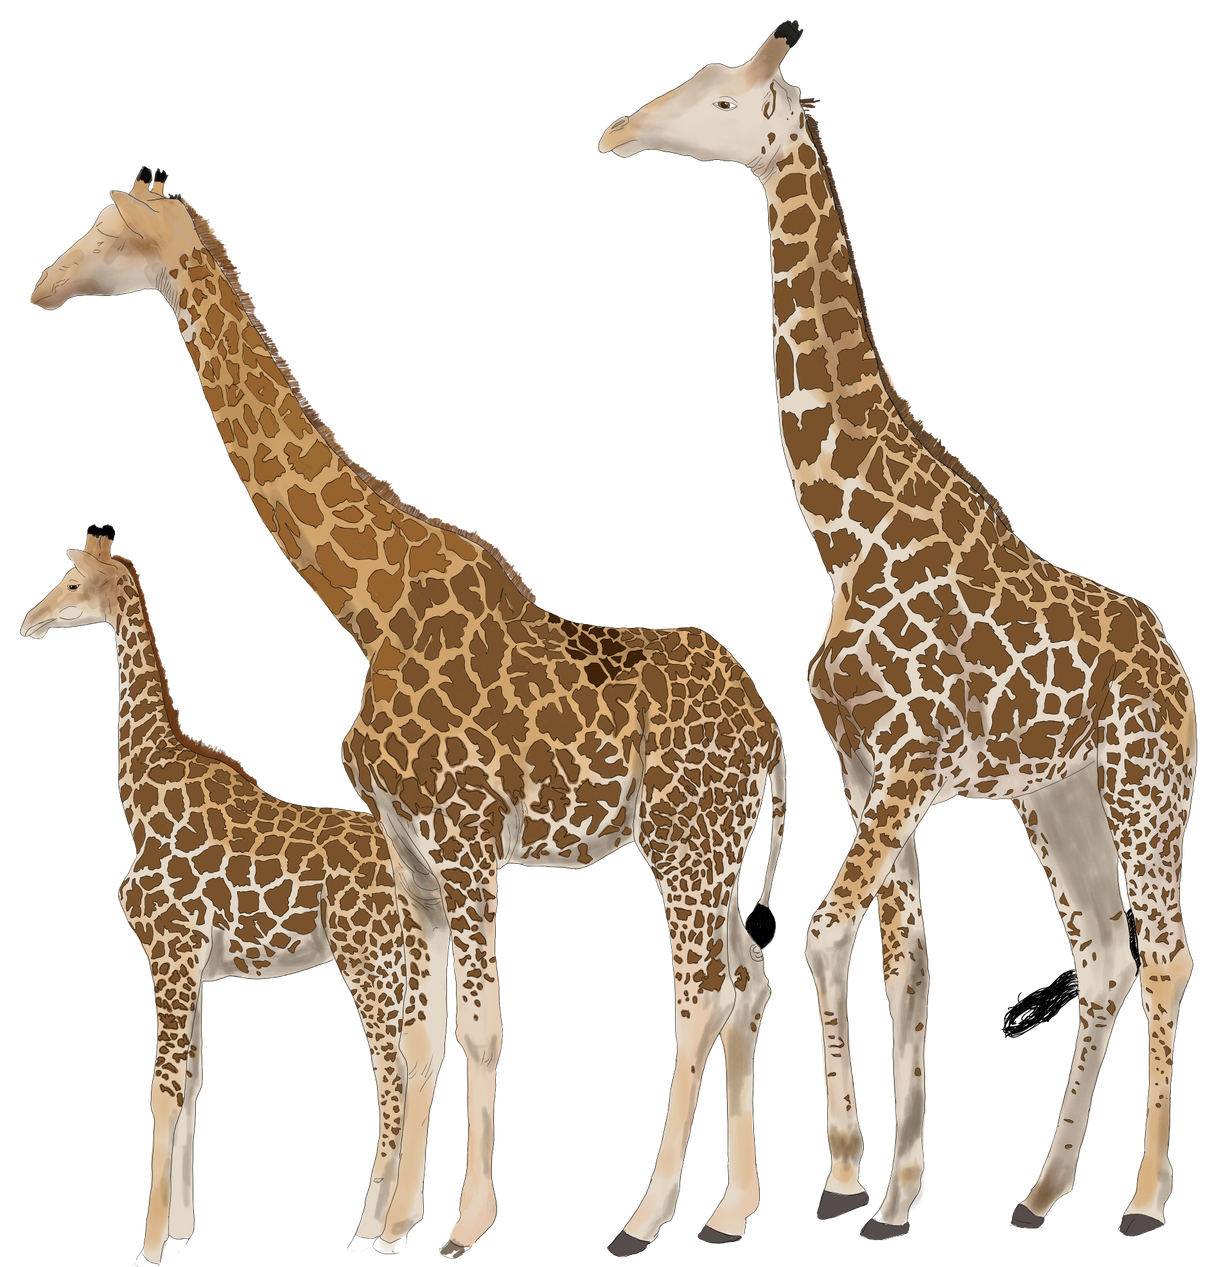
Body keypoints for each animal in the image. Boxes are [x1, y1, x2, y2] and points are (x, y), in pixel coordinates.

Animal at [19, 524, 416, 1264]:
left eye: (72, 583)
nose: (32, 620)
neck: (141, 795)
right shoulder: (196, 965)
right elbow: (195, 1082)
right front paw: (180, 1229)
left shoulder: (167, 951)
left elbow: (163, 1086)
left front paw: (148, 1244)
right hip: (407, 954)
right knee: (425, 1051)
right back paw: (398, 1220)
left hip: (364, 955)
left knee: (393, 1067)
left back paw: (373, 1228)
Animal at [598, 21, 1195, 1241]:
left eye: (722, 100)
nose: (622, 130)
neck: (846, 533)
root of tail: (1178, 668)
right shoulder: (869, 767)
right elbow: (898, 957)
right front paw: (878, 1184)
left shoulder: (913, 761)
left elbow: (827, 936)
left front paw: (853, 1177)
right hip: (1054, 796)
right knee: (1103, 960)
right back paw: (1040, 1190)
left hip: (1146, 787)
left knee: (1166, 957)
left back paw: (1144, 1197)